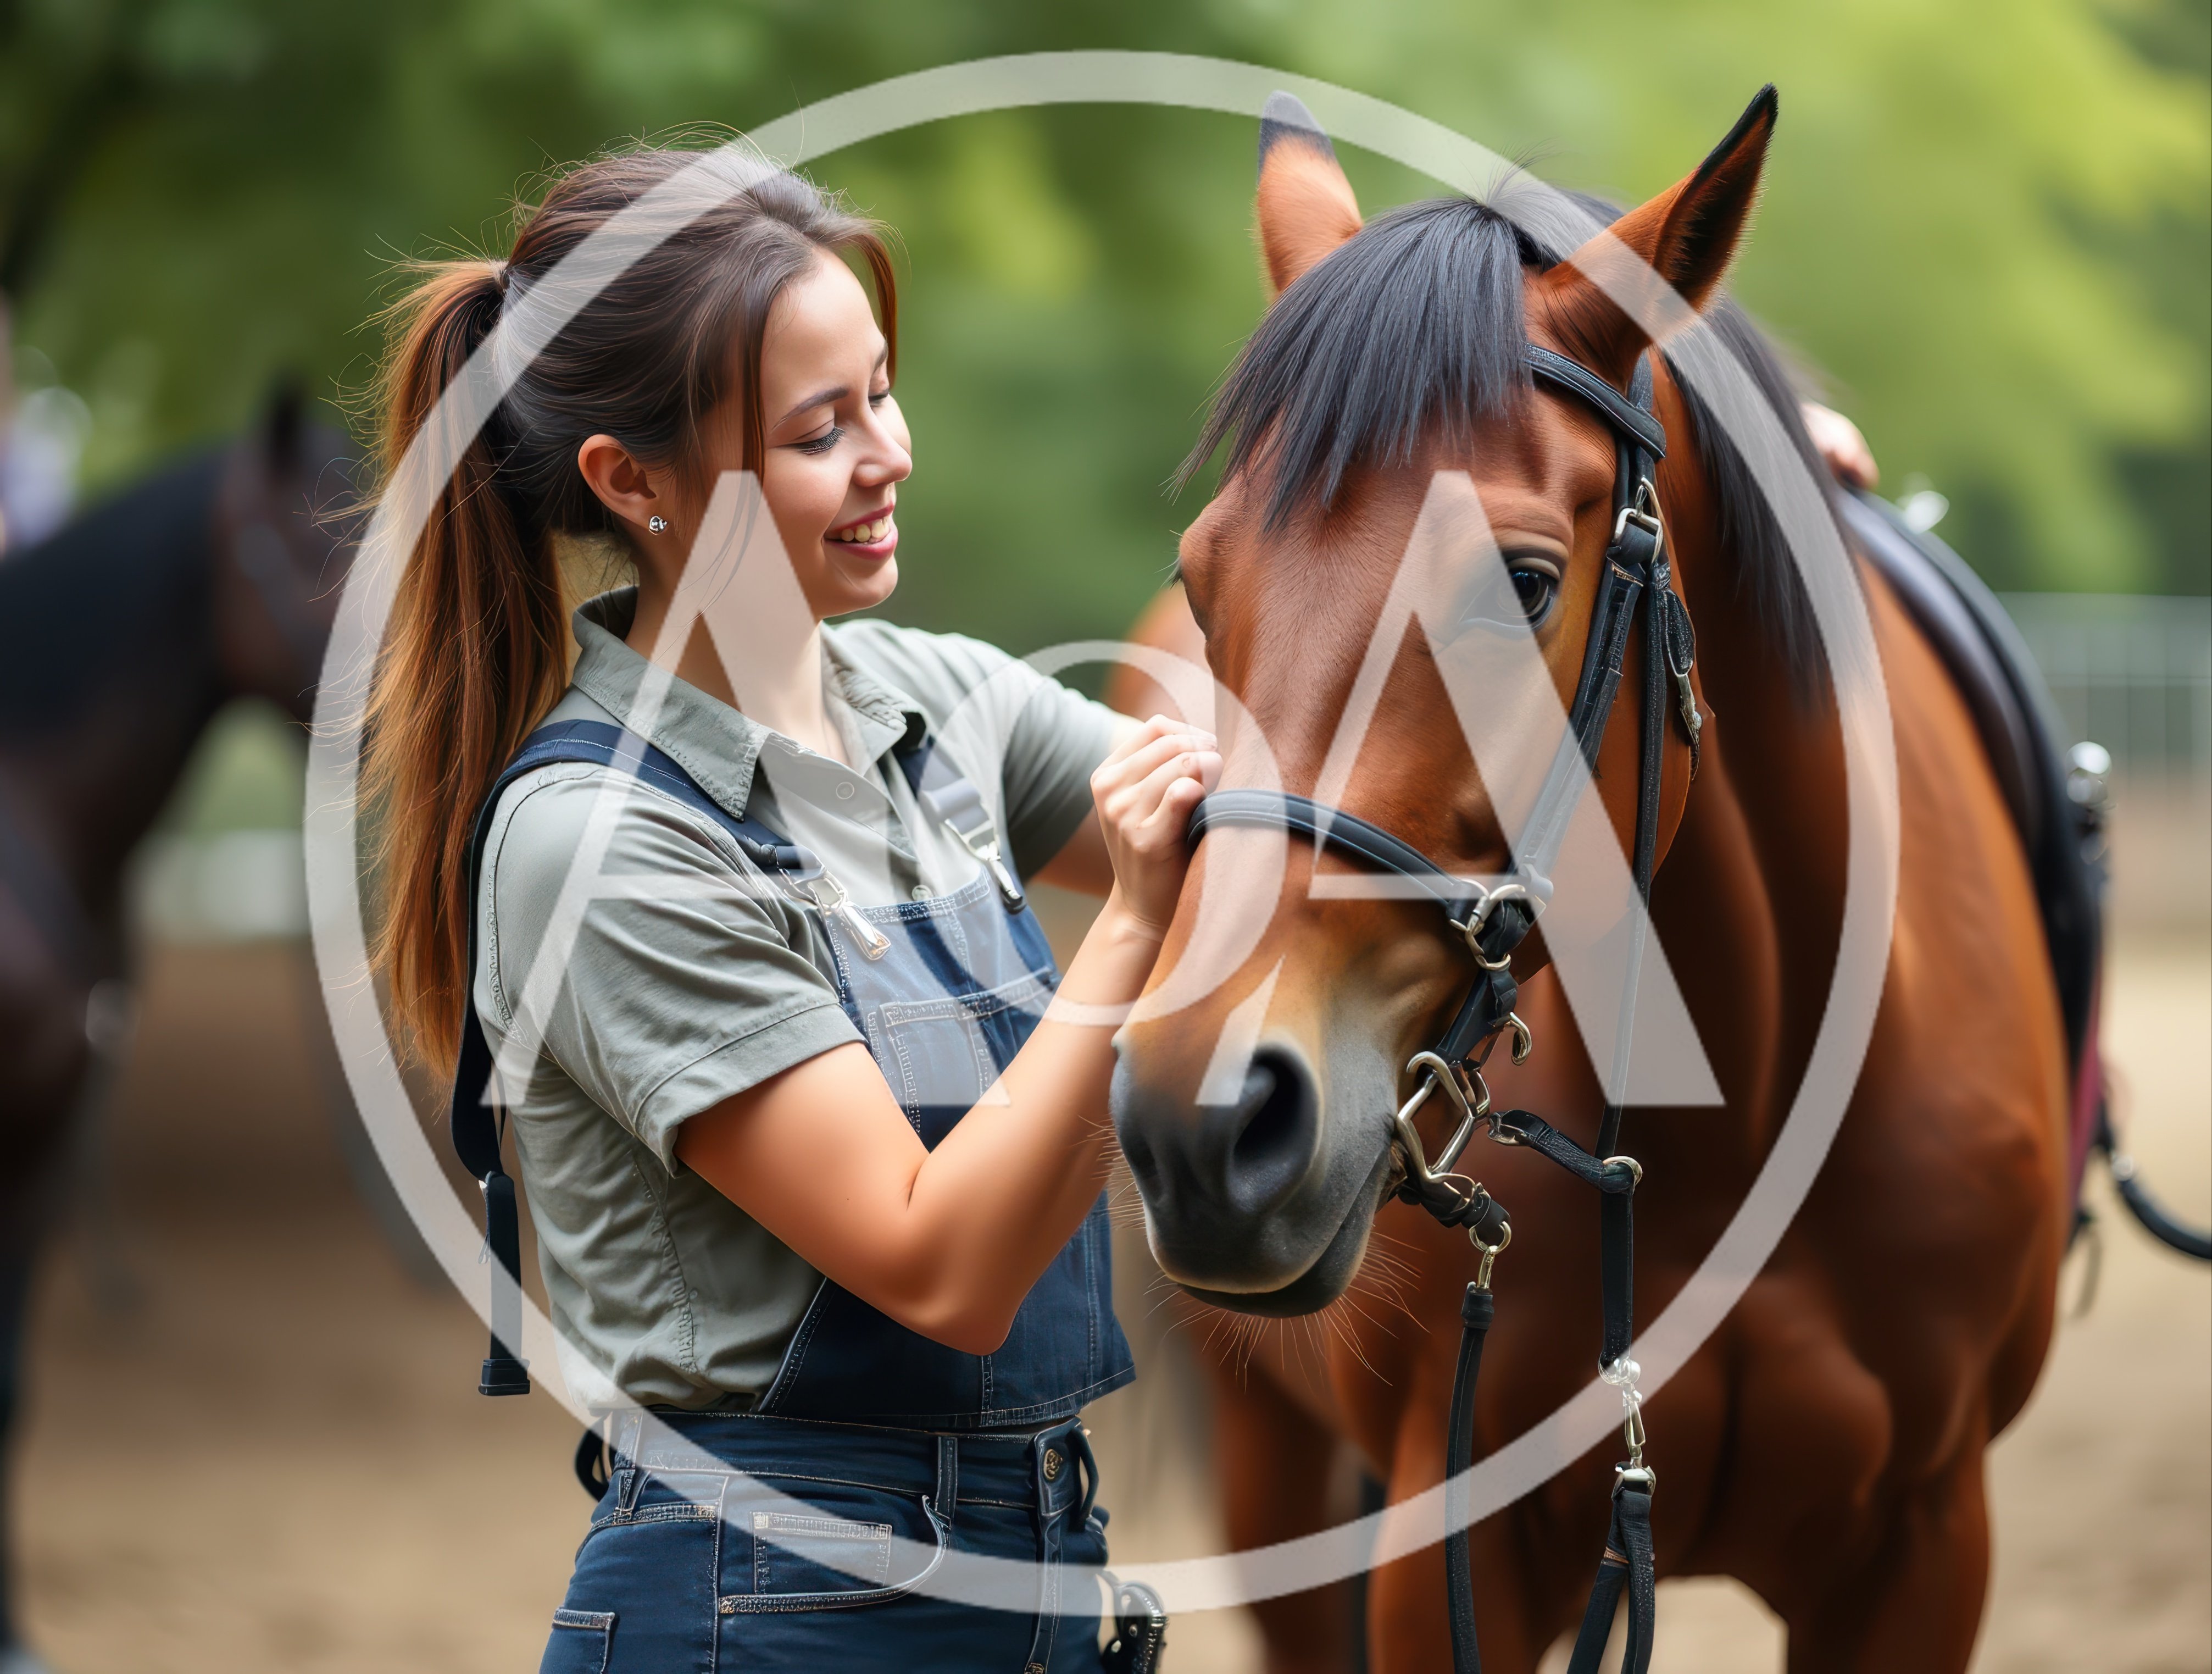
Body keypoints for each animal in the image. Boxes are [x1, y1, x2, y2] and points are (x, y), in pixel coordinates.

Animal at [1107, 90, 2075, 1671]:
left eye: (1522, 582)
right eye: (1204, 581)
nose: (1205, 1115)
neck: (1744, 1095)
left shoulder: (1926, 1543)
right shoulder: (1447, 1542)